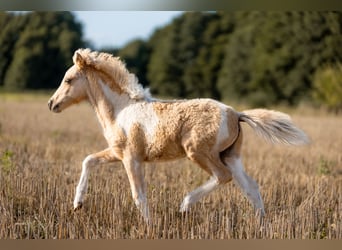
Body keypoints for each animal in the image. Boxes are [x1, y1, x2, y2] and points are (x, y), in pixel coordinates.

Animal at [48, 48, 310, 223]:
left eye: (68, 79)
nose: (52, 104)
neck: (120, 111)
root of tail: (236, 113)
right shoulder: (117, 152)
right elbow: (88, 160)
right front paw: (77, 204)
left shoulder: (131, 158)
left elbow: (138, 195)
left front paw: (150, 226)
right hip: (231, 156)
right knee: (250, 187)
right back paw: (261, 224)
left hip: (199, 153)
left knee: (223, 177)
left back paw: (184, 206)